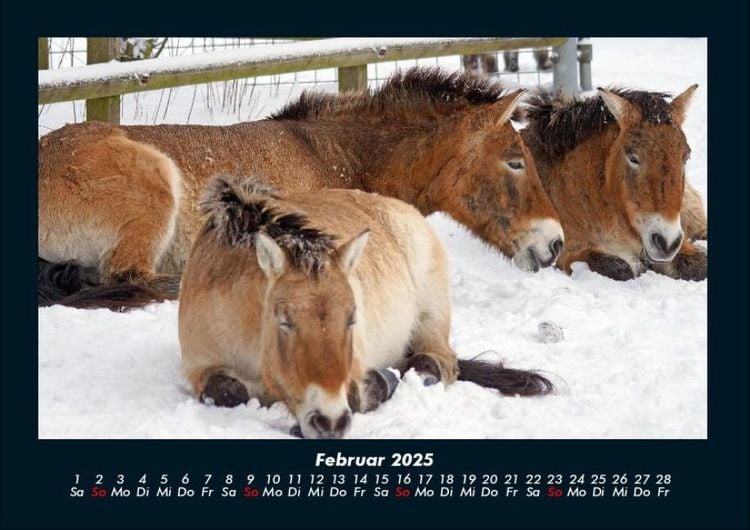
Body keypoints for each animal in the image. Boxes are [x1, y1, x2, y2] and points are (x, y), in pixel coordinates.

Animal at [178, 175, 553, 439]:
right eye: (283, 321)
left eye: (352, 319)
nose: (329, 422)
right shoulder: (200, 366)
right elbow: (226, 390)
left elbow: (359, 395)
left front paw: (380, 383)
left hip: (431, 316)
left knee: (436, 362)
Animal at [521, 86, 708, 281]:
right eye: (633, 158)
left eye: (685, 157)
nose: (666, 242)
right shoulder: (569, 252)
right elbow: (618, 268)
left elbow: (699, 266)